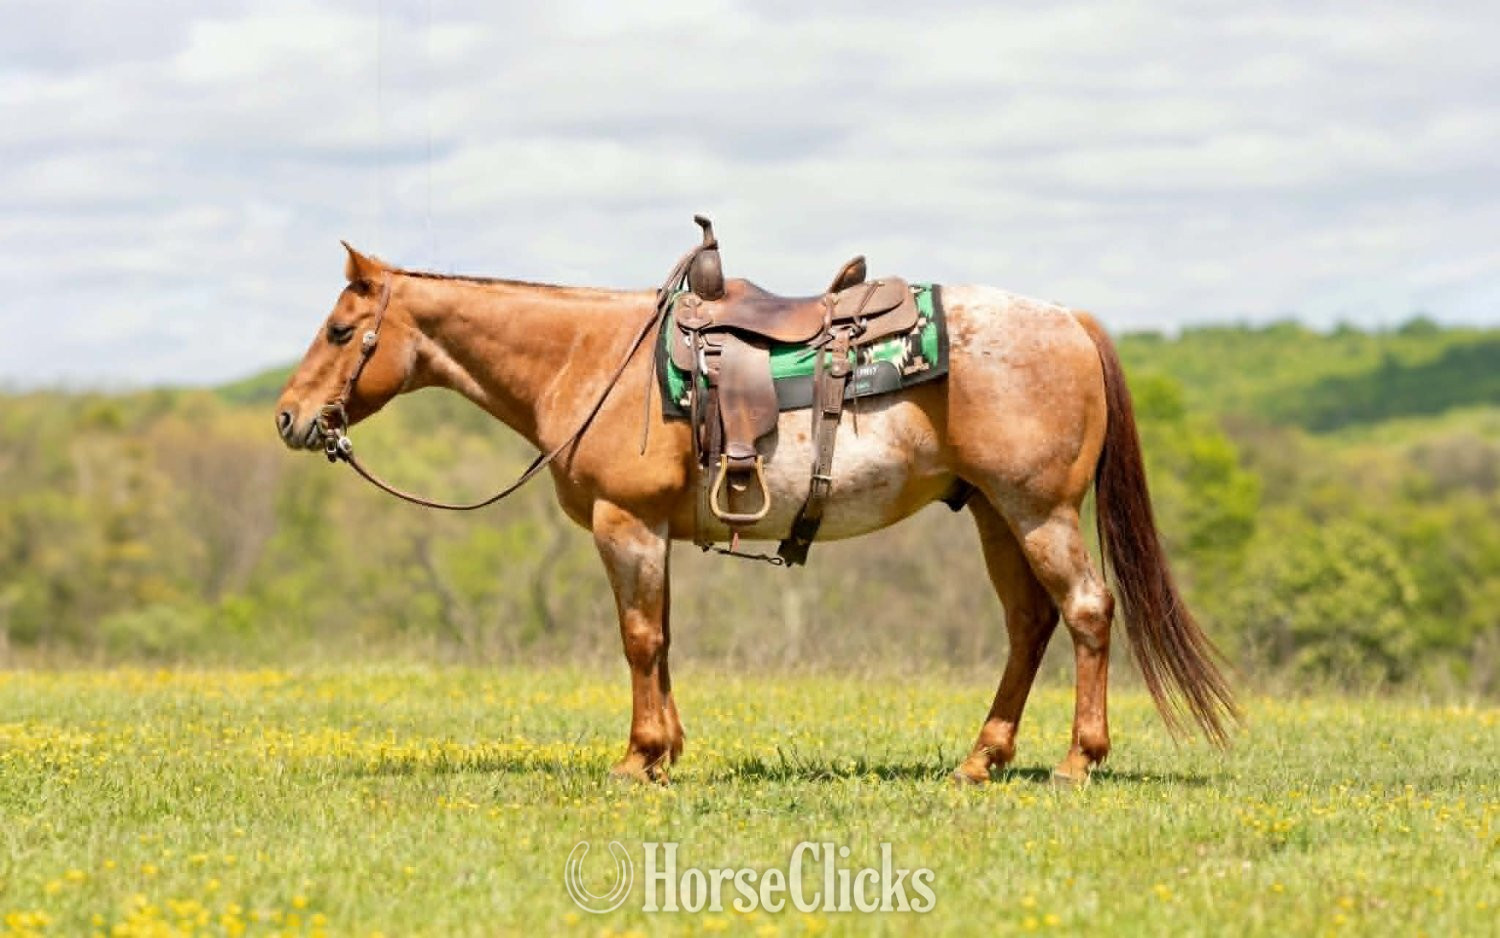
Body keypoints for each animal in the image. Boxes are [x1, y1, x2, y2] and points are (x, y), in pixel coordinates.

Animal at [275, 241, 1238, 784]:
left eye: (337, 331)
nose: (288, 417)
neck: (591, 359)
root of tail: (1070, 321)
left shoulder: (626, 524)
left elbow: (639, 640)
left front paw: (637, 759)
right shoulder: (652, 532)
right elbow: (661, 637)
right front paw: (667, 751)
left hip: (1038, 511)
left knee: (1086, 611)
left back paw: (1078, 761)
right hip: (995, 515)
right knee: (1030, 625)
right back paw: (981, 760)